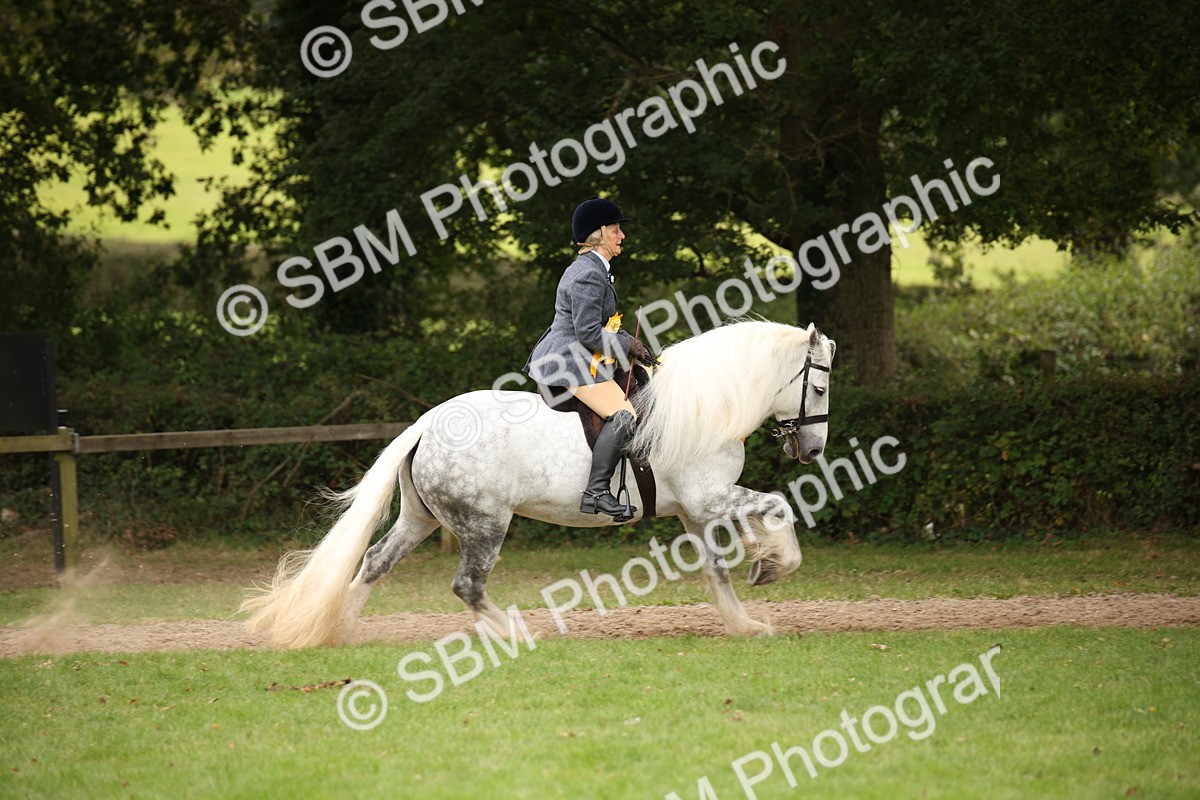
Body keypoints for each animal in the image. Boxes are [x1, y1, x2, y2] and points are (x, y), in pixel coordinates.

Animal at [241, 320, 836, 648]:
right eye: (821, 387)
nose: (812, 451)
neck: (705, 406)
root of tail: (426, 424)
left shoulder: (697, 510)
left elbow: (718, 570)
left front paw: (745, 622)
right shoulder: (708, 498)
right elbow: (778, 505)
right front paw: (775, 566)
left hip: (421, 518)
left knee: (375, 562)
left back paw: (337, 630)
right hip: (484, 523)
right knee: (467, 585)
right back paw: (517, 634)